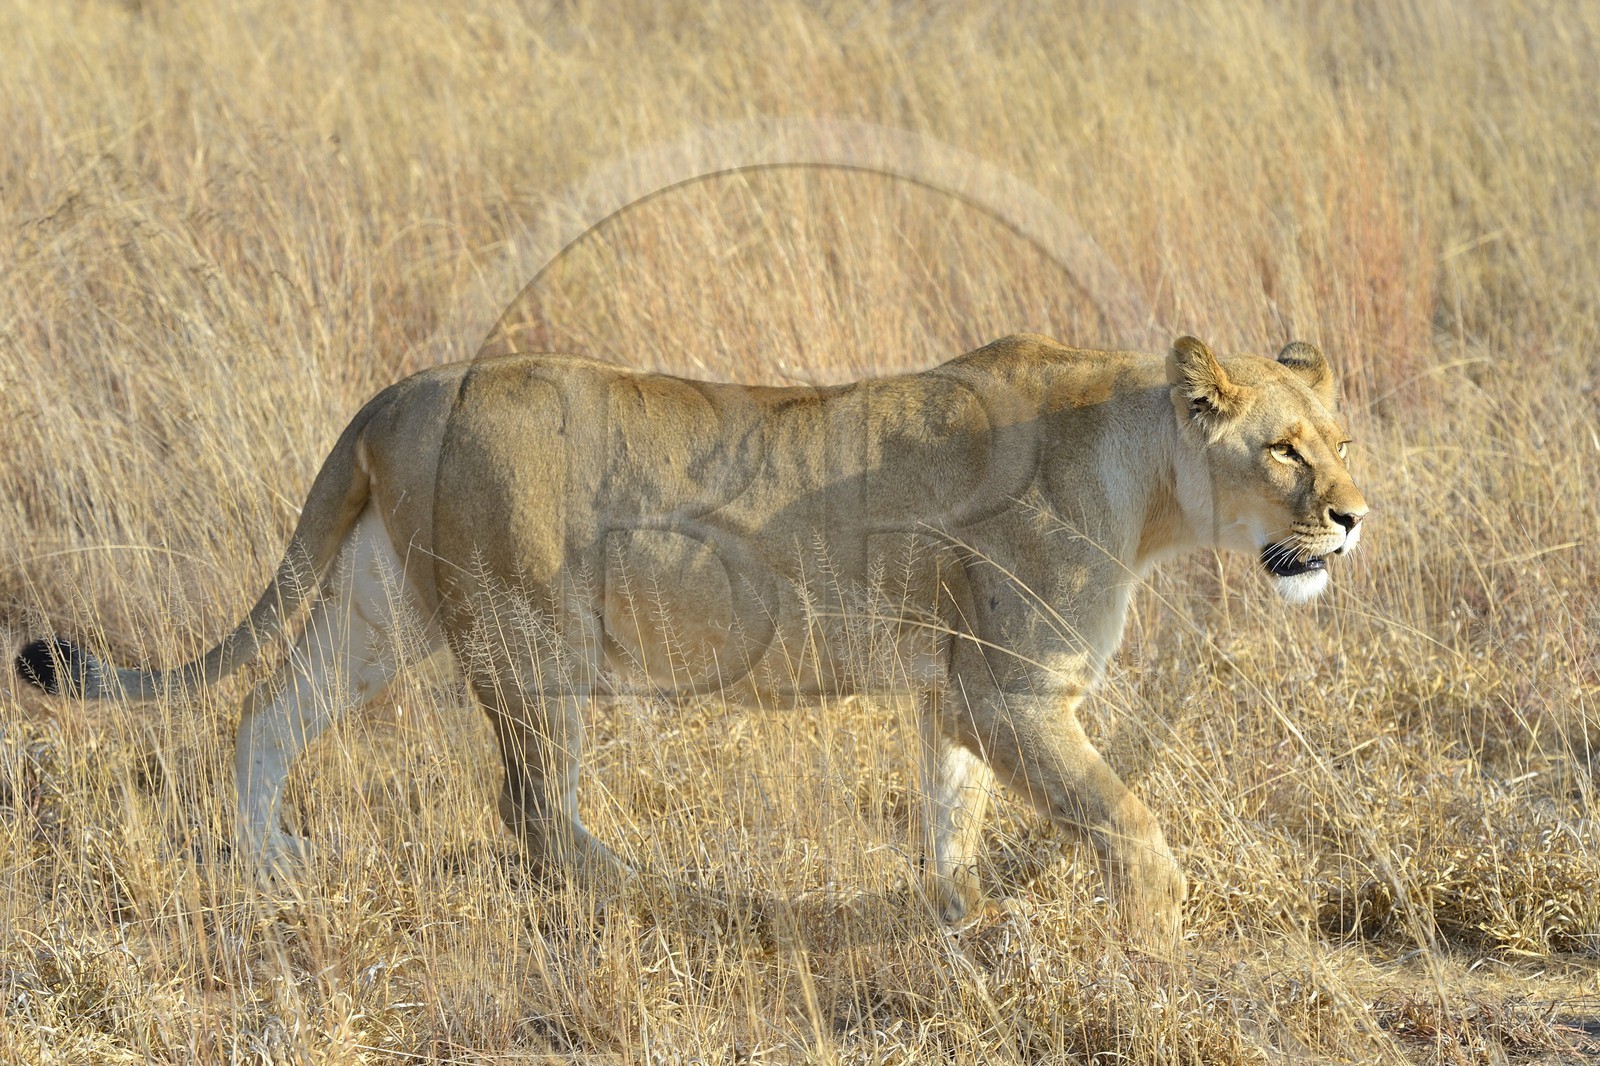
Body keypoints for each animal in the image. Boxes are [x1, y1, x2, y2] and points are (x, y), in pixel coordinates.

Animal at [16, 334, 1366, 941]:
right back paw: (662, 903)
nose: (1355, 518)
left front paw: (954, 923)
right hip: (530, 635)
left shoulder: (955, 695)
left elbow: (950, 815)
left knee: (265, 713)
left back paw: (272, 868)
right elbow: (1127, 822)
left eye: (1339, 442)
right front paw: (1156, 945)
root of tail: (405, 389)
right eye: (1283, 449)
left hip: (379, 603)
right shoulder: (1014, 693)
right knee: (529, 810)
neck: (1147, 488)